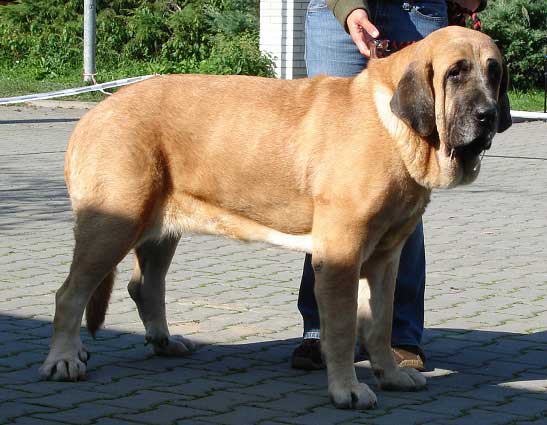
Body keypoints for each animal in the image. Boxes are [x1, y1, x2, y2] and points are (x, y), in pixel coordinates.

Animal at [40, 25, 512, 408]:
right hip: (114, 224)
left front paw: (391, 374)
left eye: (493, 72)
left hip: (158, 231)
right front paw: (348, 390)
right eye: (456, 72)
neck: (394, 127)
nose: (488, 116)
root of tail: (93, 114)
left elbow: (379, 323)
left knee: (145, 286)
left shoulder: (384, 259)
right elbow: (342, 330)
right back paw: (65, 359)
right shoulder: (340, 256)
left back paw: (163, 342)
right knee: (69, 294)